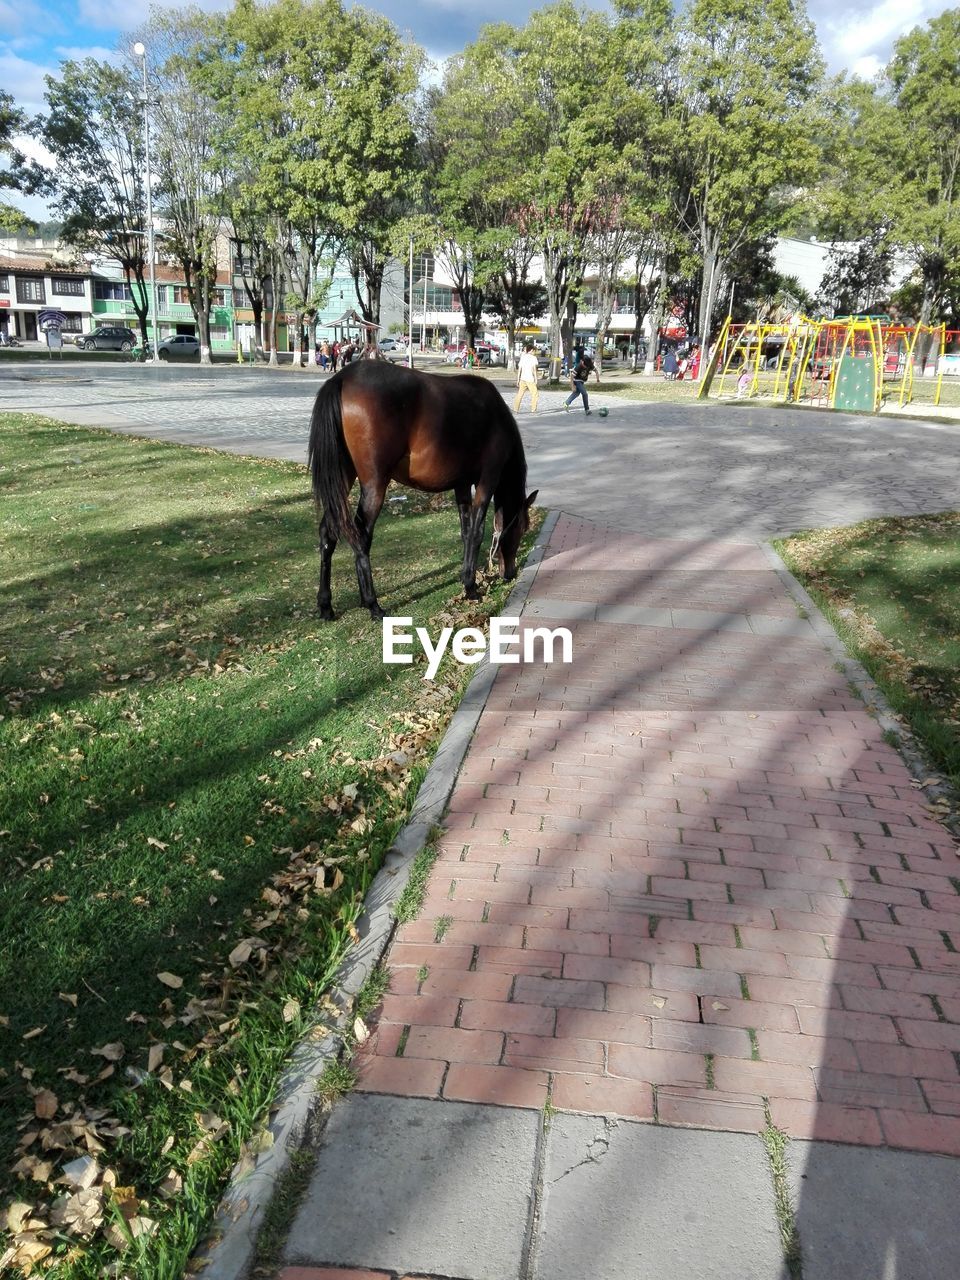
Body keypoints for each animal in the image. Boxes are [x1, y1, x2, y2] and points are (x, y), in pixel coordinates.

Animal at [308, 360, 537, 619]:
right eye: (523, 528)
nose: (510, 573)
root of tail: (343, 378)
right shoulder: (487, 480)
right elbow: (477, 532)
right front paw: (471, 588)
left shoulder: (461, 485)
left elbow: (466, 531)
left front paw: (465, 579)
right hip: (374, 484)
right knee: (361, 536)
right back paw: (372, 604)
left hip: (342, 478)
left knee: (328, 533)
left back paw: (326, 605)